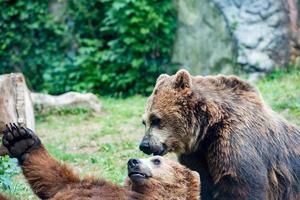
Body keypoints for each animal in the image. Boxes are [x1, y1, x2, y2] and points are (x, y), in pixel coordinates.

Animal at [139, 69, 300, 199]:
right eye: (144, 122)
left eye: (156, 119)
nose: (144, 145)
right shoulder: (198, 154)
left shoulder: (234, 141)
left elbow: (242, 184)